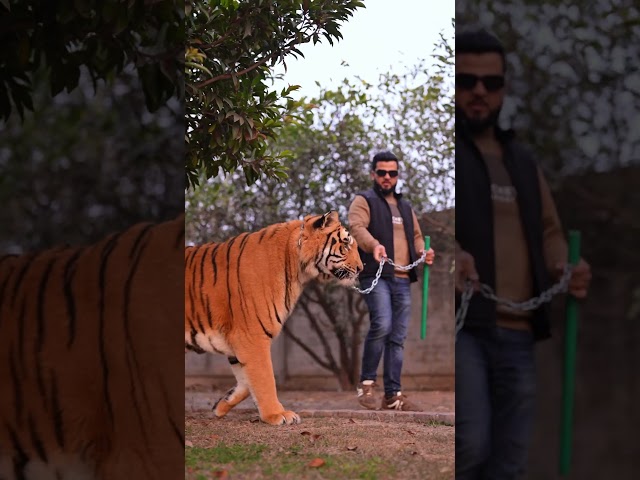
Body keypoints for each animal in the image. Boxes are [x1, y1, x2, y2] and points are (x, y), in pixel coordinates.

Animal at [184, 211, 363, 425]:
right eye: (345, 246)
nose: (361, 268)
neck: (298, 269)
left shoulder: (237, 344)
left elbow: (246, 384)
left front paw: (220, 405)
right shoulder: (251, 337)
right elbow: (266, 378)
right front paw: (277, 414)